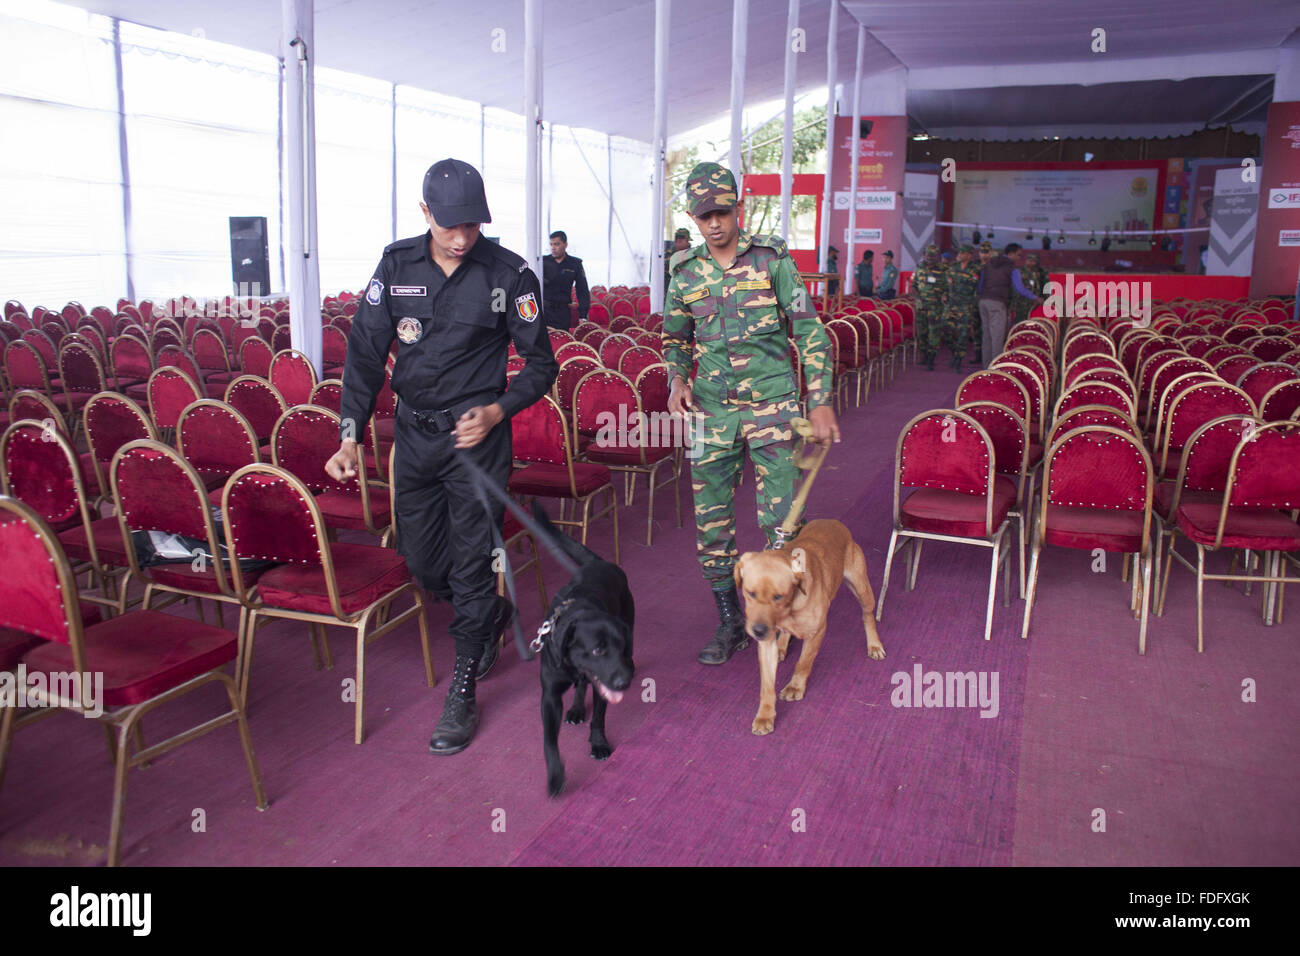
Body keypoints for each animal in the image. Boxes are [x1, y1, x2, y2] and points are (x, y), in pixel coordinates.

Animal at [525, 504, 631, 796]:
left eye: (621, 647)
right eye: (597, 650)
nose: (624, 682)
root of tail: (599, 562)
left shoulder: (603, 685)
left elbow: (599, 717)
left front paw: (599, 744)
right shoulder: (550, 695)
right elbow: (549, 740)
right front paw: (555, 776)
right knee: (580, 685)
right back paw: (575, 709)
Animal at [738, 520, 889, 738]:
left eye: (778, 596)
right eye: (750, 593)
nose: (758, 631)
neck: (789, 608)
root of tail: (834, 522)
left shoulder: (816, 632)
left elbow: (803, 664)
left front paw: (795, 687)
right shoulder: (766, 644)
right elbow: (766, 686)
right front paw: (765, 715)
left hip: (862, 589)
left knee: (867, 616)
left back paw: (874, 645)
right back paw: (782, 647)